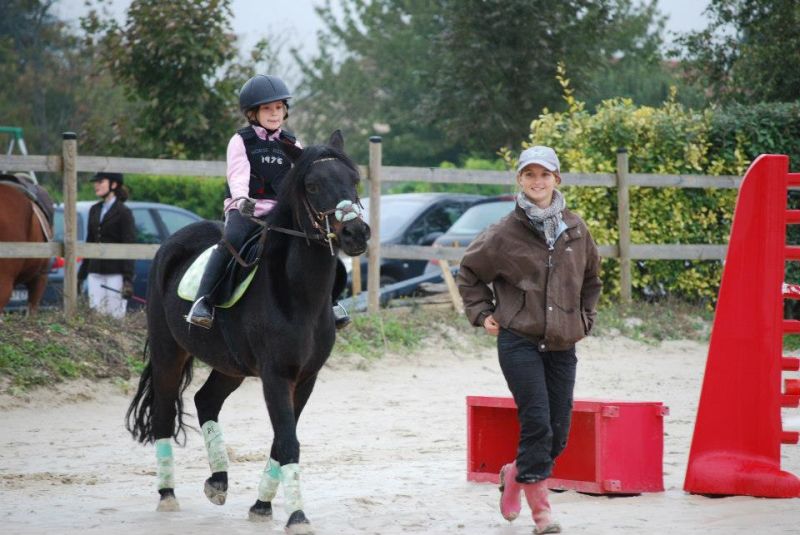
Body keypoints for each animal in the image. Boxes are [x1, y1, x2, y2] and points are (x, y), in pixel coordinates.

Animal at [126, 131, 372, 535]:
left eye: (354, 181)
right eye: (313, 185)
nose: (356, 233)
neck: (297, 294)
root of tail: (172, 242)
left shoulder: (305, 378)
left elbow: (281, 440)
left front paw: (261, 506)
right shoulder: (276, 376)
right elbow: (287, 442)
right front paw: (297, 516)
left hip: (231, 366)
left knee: (206, 400)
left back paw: (219, 481)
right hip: (168, 352)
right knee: (163, 412)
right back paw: (167, 494)